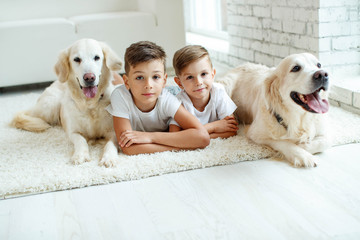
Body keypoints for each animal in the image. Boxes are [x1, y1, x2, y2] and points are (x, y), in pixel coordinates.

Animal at [11, 39, 122, 167]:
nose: (89, 78)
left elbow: (110, 144)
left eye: (97, 57)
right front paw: (80, 155)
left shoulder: (113, 132)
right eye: (77, 59)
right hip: (51, 105)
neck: (89, 104)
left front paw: (109, 158)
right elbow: (81, 141)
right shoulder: (73, 132)